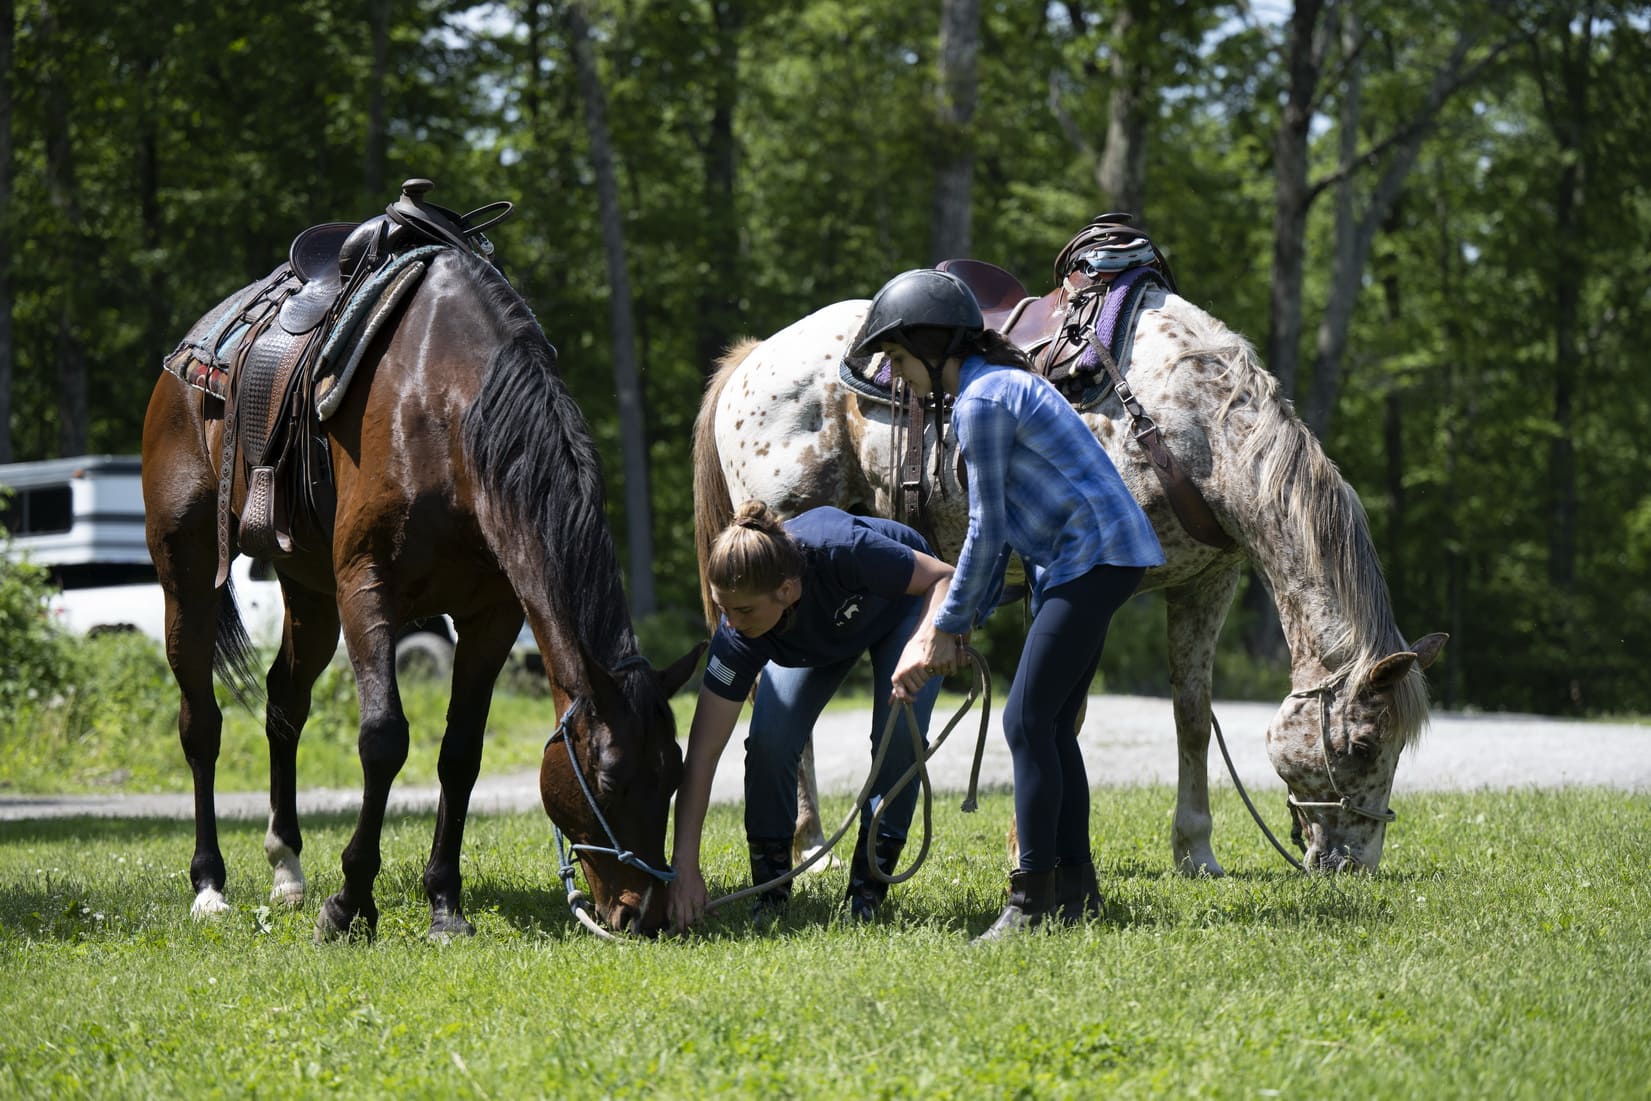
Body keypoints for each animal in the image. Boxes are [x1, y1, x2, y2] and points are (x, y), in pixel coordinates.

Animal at [143, 245, 703, 937]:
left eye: (674, 775)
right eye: (610, 779)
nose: (643, 914)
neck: (449, 413)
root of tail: (185, 359)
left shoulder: (492, 615)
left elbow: (460, 753)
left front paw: (444, 903)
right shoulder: (367, 588)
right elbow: (383, 739)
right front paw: (350, 903)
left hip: (310, 596)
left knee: (285, 703)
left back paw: (288, 868)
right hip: (187, 579)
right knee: (202, 724)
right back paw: (209, 884)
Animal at [693, 288, 1446, 871]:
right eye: (1360, 745)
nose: (1352, 864)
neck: (1186, 423)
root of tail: (752, 358)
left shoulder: (1205, 585)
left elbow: (1192, 716)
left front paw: (1195, 851)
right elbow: (1066, 711)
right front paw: (1027, 846)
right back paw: (809, 842)